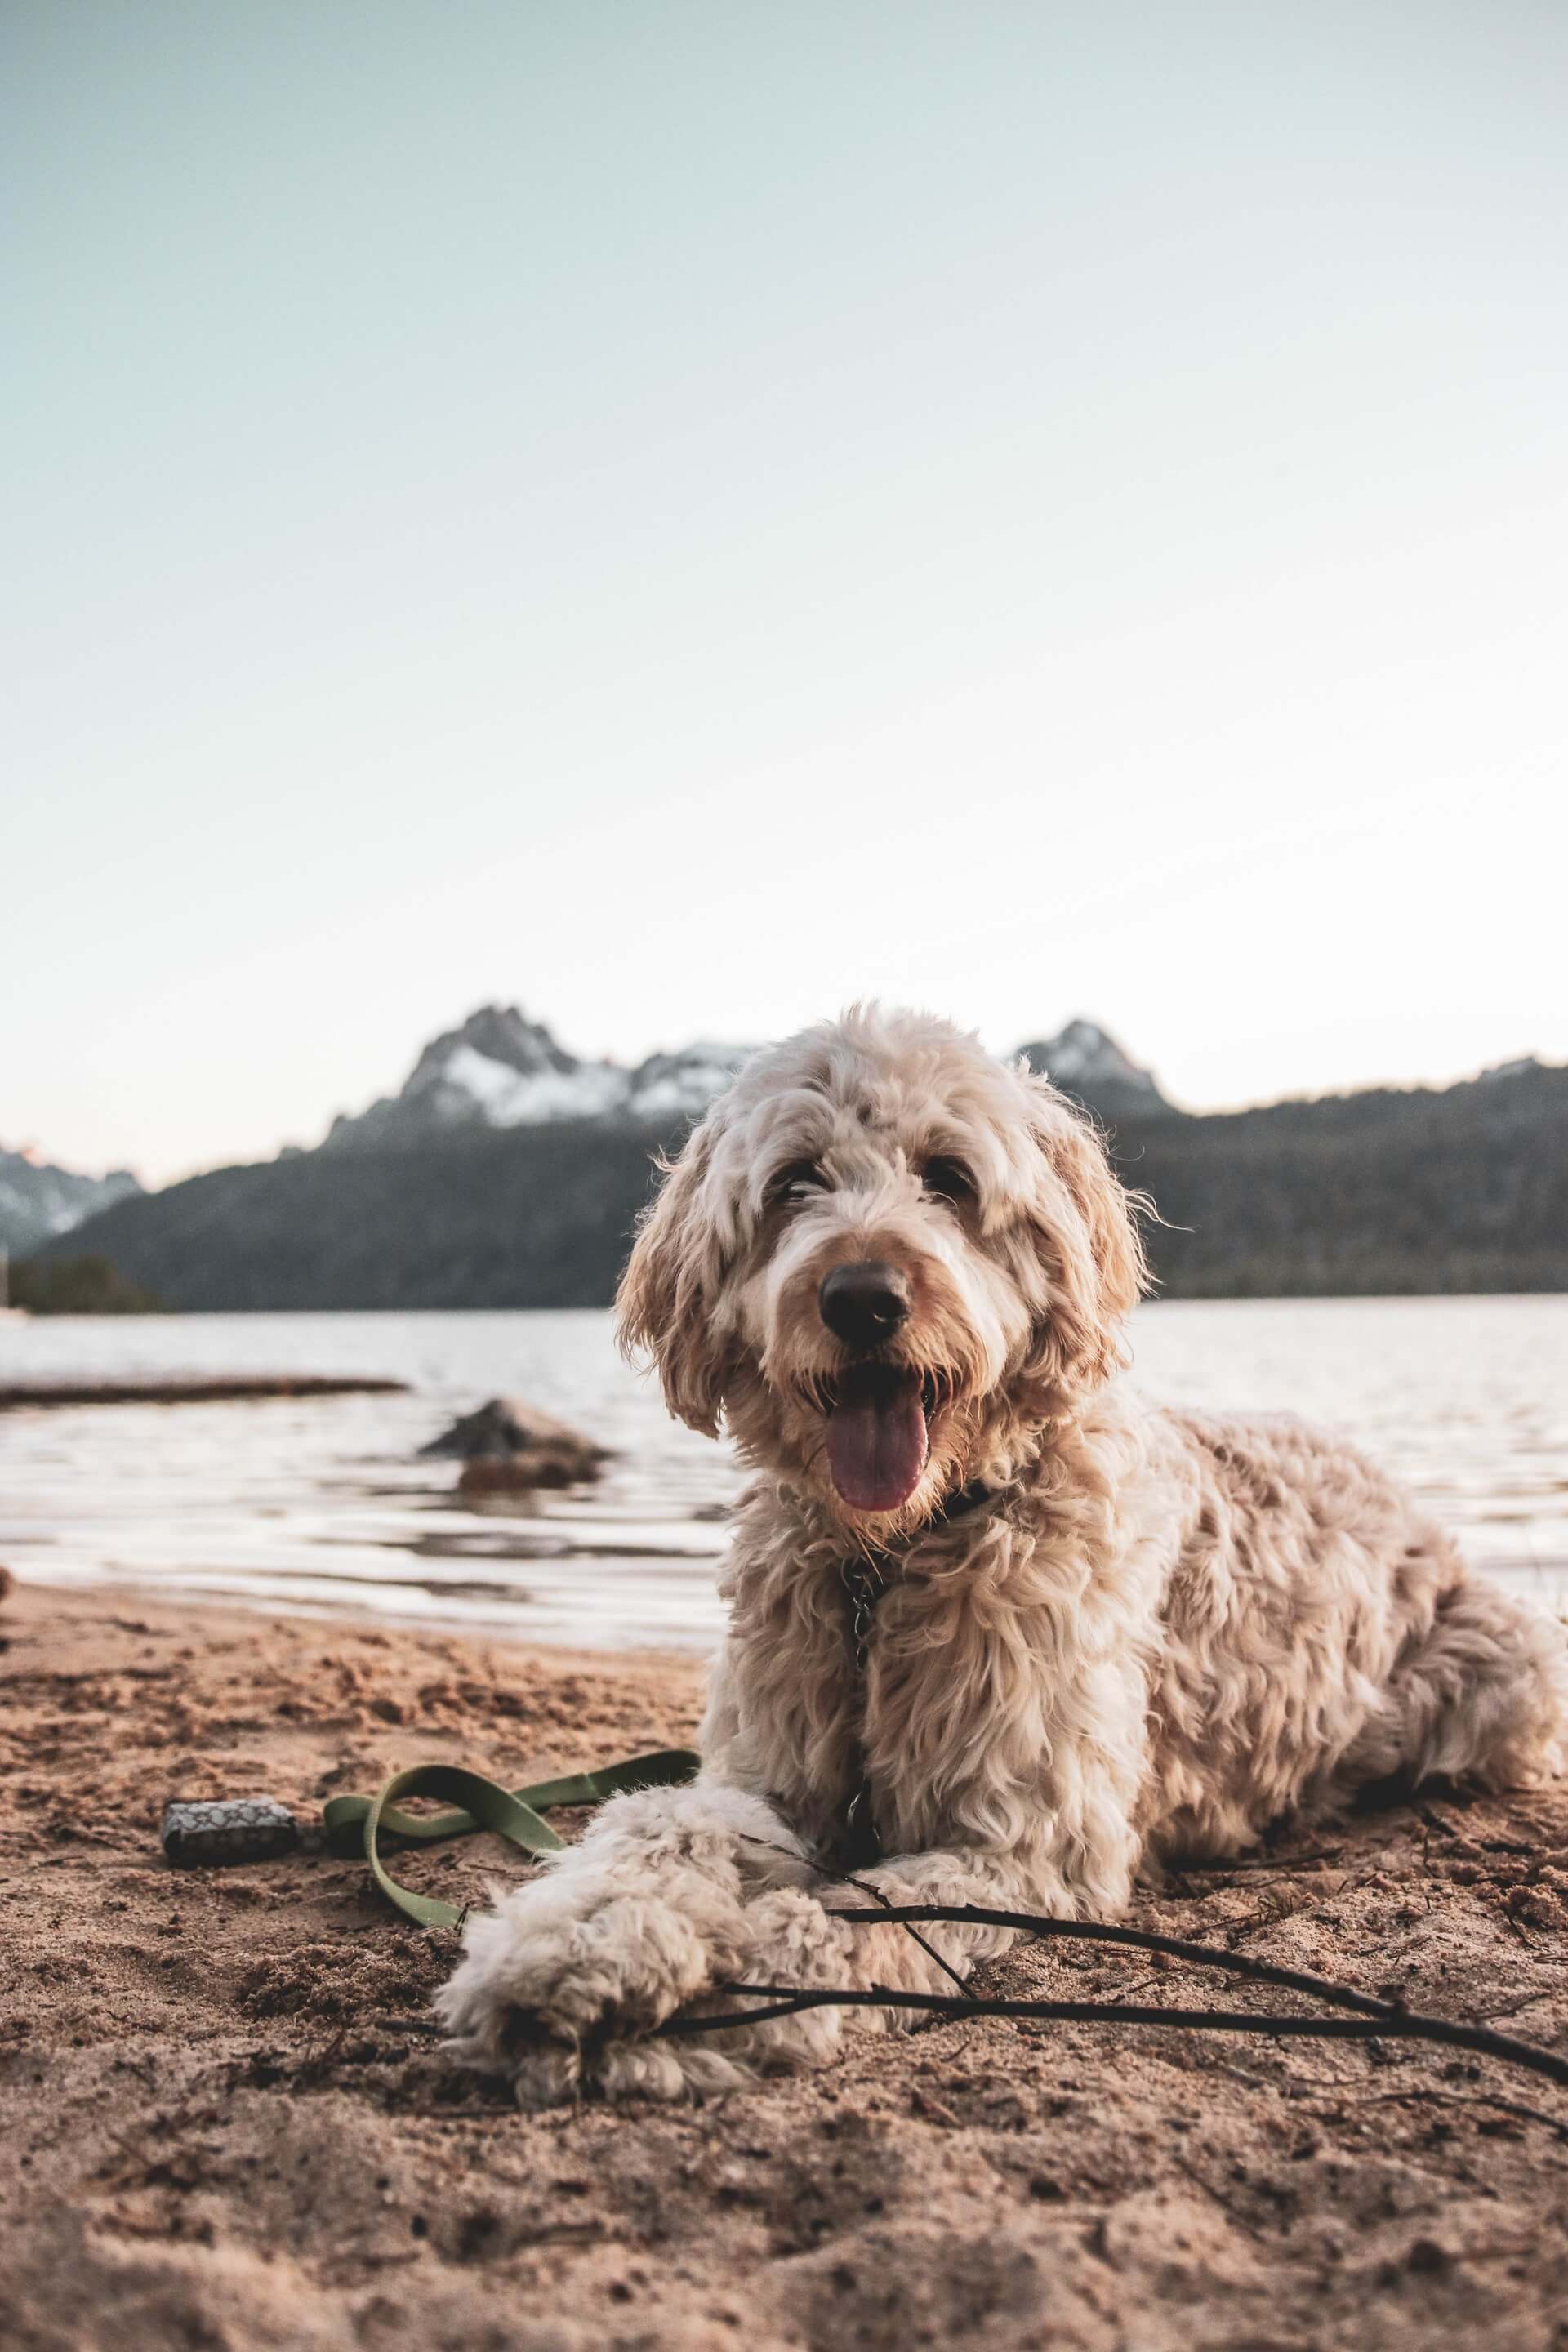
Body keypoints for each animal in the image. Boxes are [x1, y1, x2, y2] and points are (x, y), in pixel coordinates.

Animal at [432, 1001, 1568, 2107]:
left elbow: (856, 1915)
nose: (862, 1297)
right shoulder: (769, 1776)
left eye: (949, 1177)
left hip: (1511, 1670)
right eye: (795, 1181)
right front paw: (572, 1944)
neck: (891, 1562)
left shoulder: (1027, 1842)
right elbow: (660, 1825)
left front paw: (721, 1997)